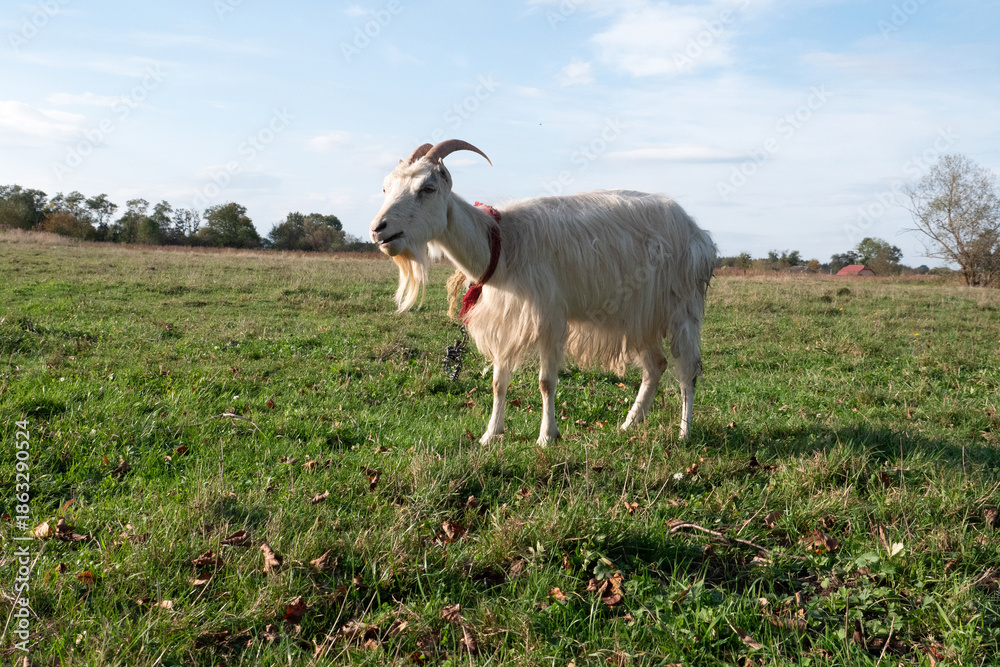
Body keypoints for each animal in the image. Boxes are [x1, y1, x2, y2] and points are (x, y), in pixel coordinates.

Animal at [370, 139, 716, 444]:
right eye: (386, 188)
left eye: (427, 188)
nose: (378, 229)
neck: (504, 243)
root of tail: (699, 234)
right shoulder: (506, 322)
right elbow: (498, 382)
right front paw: (490, 435)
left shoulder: (549, 317)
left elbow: (546, 382)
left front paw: (547, 436)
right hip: (639, 315)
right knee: (655, 366)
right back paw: (629, 424)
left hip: (682, 308)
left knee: (688, 370)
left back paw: (684, 432)